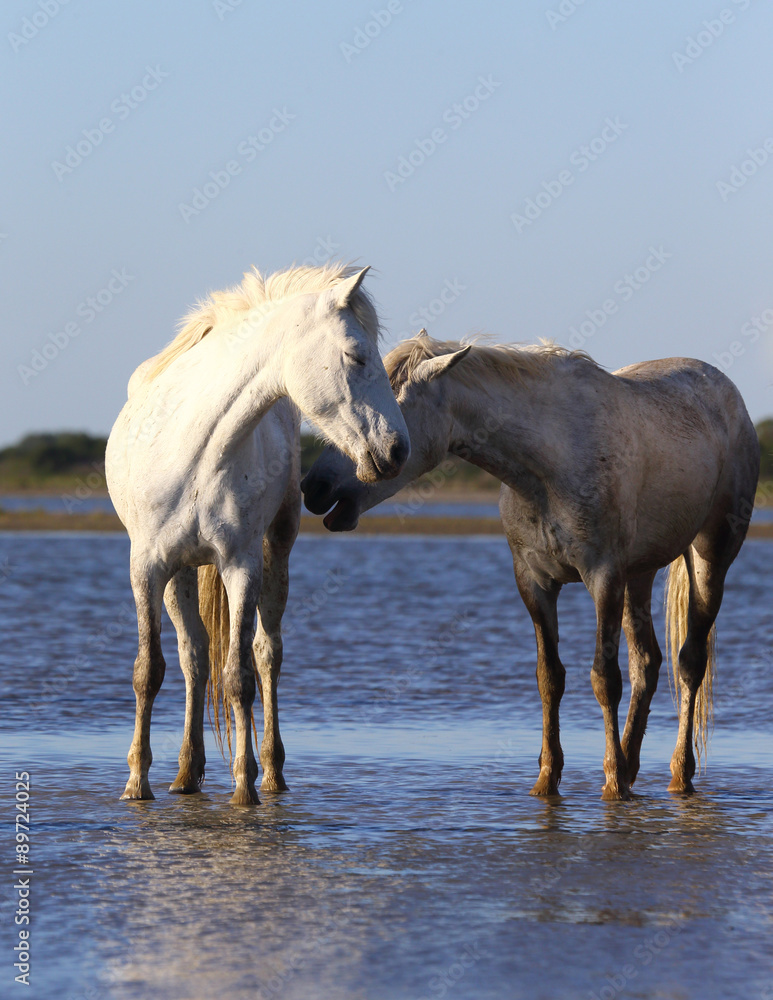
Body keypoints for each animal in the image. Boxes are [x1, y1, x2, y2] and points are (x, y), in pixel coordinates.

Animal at [105, 264, 409, 805]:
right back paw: (185, 774)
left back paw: (270, 772)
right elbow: (149, 670)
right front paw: (136, 783)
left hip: (274, 554)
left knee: (266, 655)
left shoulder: (241, 565)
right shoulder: (146, 568)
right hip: (179, 574)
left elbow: (240, 677)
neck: (197, 452)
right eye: (356, 354)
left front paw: (244, 788)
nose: (398, 451)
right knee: (193, 658)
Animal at [301, 331, 760, 800]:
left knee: (690, 663)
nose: (313, 486)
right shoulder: (535, 583)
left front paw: (612, 784)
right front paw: (547, 779)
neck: (548, 465)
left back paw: (677, 774)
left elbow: (604, 679)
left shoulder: (604, 579)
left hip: (709, 557)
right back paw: (633, 766)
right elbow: (549, 678)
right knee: (647, 662)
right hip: (641, 573)